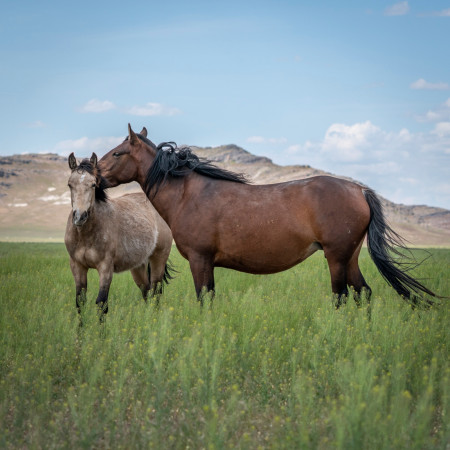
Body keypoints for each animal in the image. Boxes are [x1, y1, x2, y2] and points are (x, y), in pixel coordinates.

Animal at [65, 153, 174, 314]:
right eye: (70, 184)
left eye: (93, 184)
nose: (80, 217)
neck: (86, 235)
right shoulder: (77, 266)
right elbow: (80, 302)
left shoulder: (105, 268)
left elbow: (102, 303)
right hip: (138, 266)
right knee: (146, 291)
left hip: (158, 259)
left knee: (156, 291)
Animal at [97, 126, 436, 310]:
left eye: (117, 153)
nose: (93, 174)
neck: (188, 194)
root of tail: (359, 190)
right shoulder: (207, 264)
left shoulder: (199, 259)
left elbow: (204, 299)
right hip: (350, 256)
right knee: (362, 293)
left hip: (337, 257)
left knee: (340, 296)